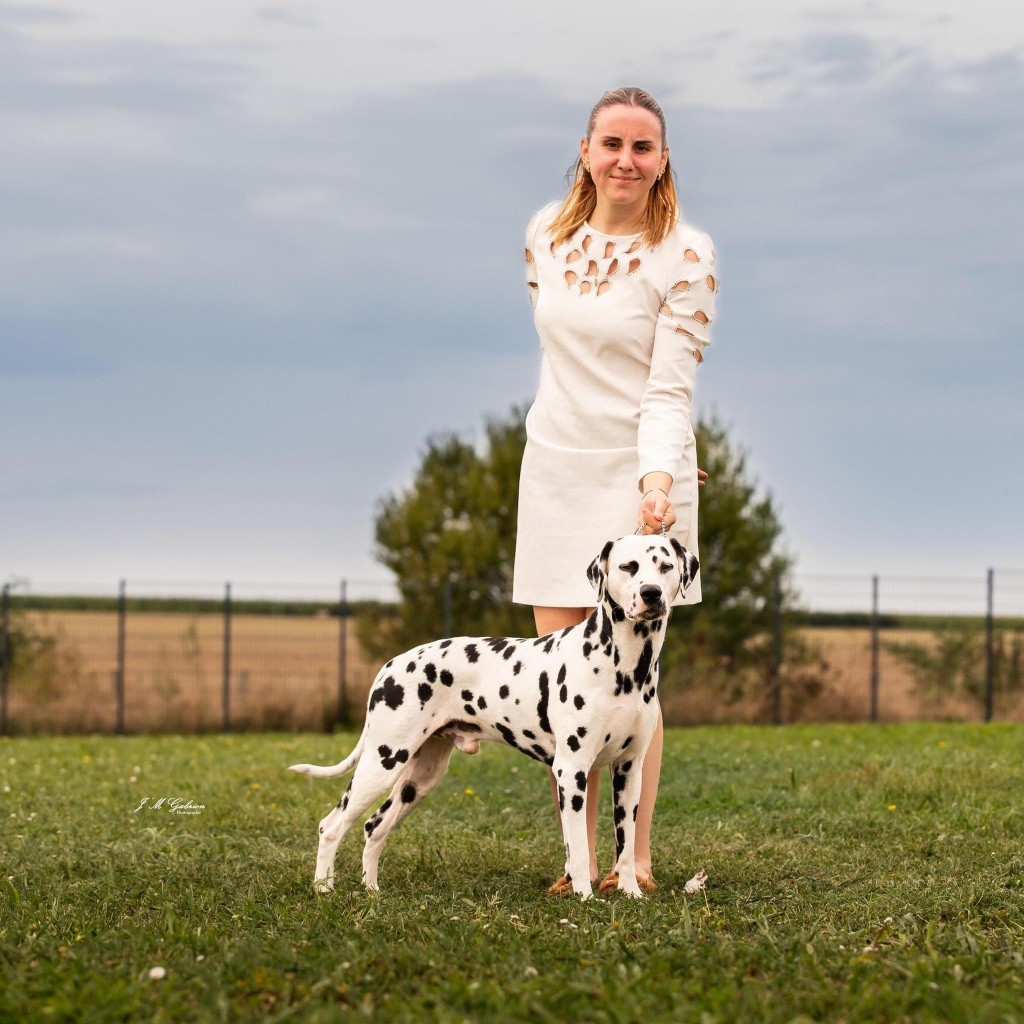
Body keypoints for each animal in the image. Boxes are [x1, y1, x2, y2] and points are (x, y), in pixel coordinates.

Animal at [292, 532, 700, 901]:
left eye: (665, 567)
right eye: (628, 567)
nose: (652, 594)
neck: (626, 665)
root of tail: (390, 666)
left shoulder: (629, 770)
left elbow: (625, 846)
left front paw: (631, 893)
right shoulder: (572, 770)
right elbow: (579, 849)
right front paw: (584, 898)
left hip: (418, 778)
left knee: (374, 826)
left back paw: (372, 891)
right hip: (383, 761)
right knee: (331, 825)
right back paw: (324, 889)